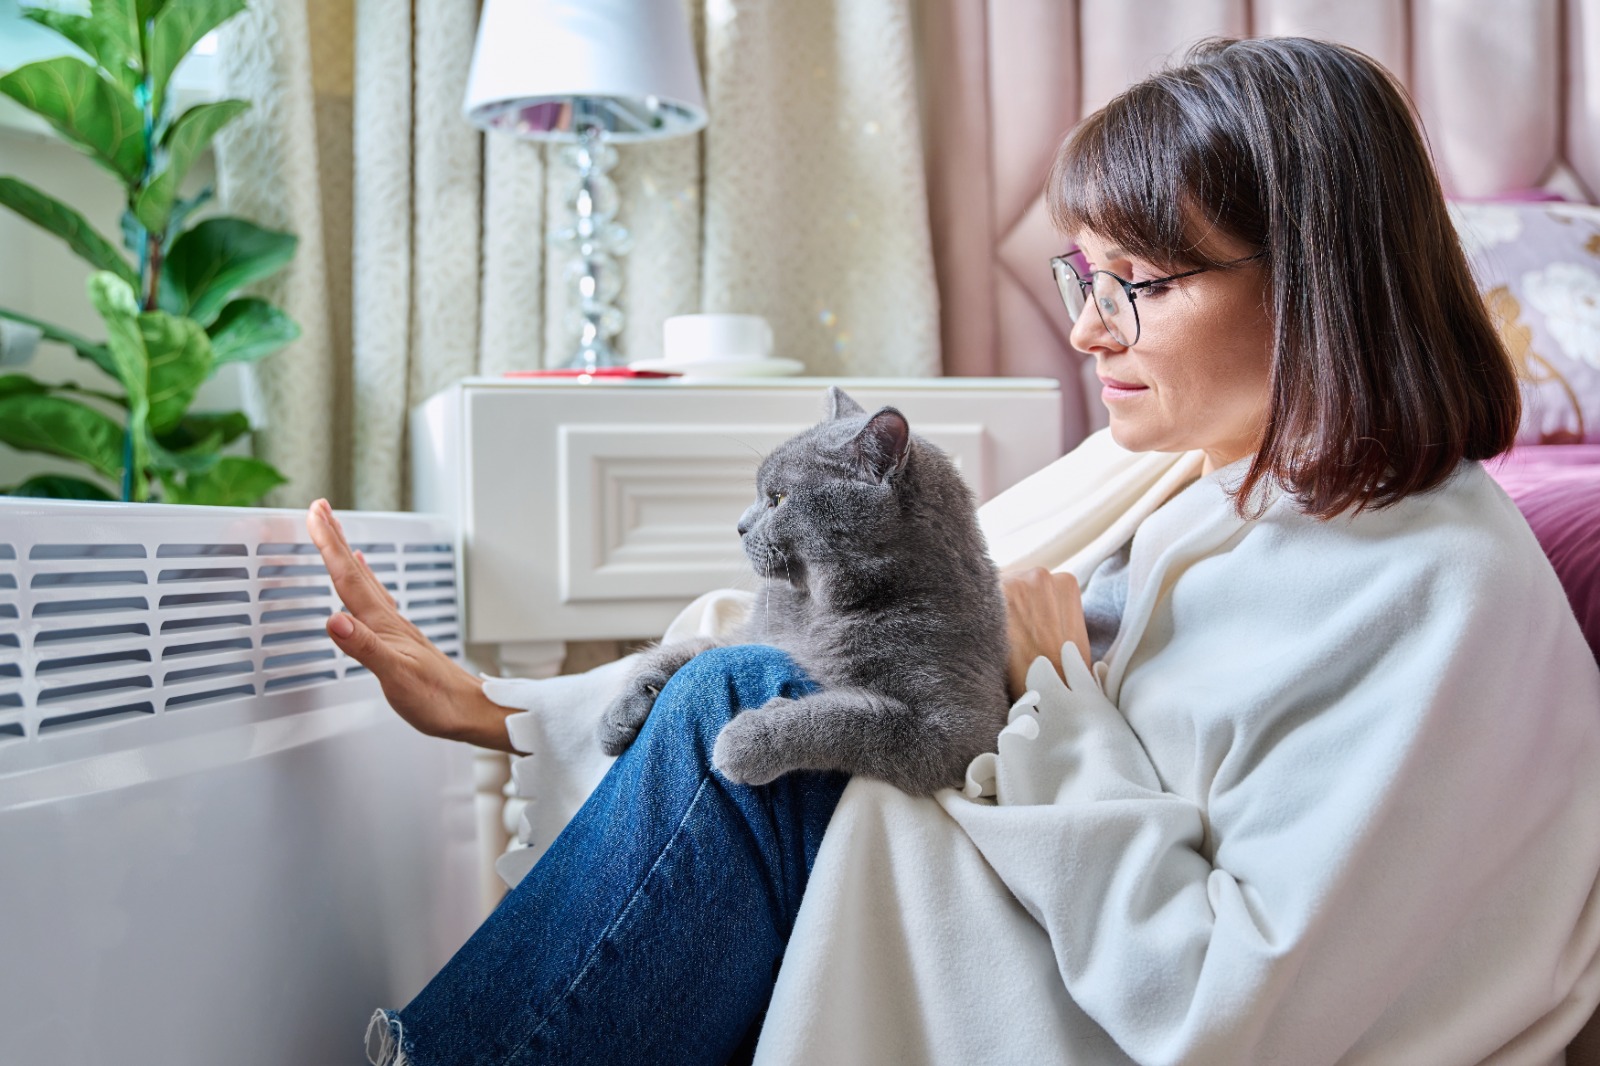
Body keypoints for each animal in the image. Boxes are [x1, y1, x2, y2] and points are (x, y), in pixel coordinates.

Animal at [595, 385, 1004, 793]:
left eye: (778, 499)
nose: (739, 526)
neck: (817, 609)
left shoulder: (960, 729)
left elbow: (852, 723)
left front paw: (749, 740)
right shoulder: (756, 634)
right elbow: (682, 649)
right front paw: (619, 711)